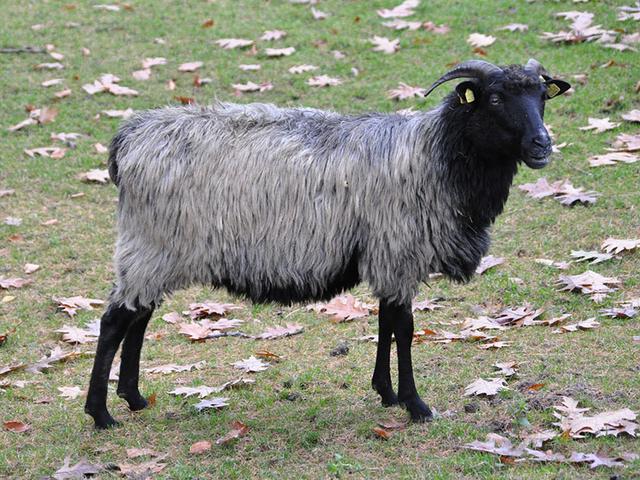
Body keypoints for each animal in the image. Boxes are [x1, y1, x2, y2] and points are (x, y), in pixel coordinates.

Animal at [85, 59, 570, 429]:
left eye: (543, 97)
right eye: (495, 98)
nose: (542, 144)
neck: (438, 154)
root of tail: (129, 138)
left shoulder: (386, 253)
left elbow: (386, 322)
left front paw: (386, 393)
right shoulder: (399, 249)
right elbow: (405, 328)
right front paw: (415, 405)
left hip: (156, 250)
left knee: (139, 318)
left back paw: (133, 397)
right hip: (151, 245)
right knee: (114, 322)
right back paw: (101, 414)